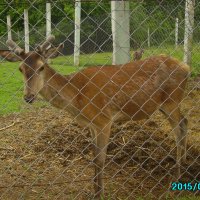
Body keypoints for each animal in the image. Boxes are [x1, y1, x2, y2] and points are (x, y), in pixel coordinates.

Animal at [4, 35, 189, 198]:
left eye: (41, 67)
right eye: (21, 69)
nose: (28, 97)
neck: (77, 97)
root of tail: (186, 67)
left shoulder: (104, 119)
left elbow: (100, 160)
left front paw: (99, 194)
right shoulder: (92, 124)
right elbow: (93, 158)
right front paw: (94, 191)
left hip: (172, 100)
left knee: (179, 129)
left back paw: (177, 179)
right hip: (165, 105)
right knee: (185, 122)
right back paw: (184, 171)